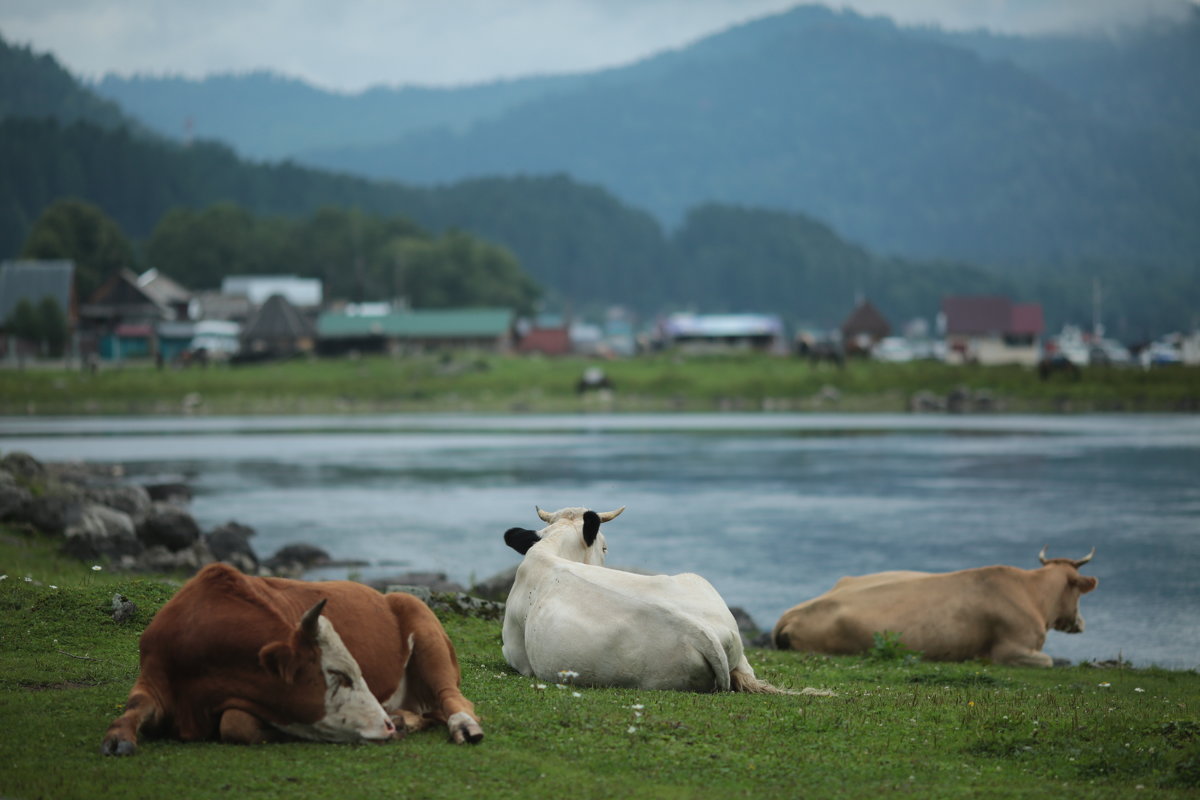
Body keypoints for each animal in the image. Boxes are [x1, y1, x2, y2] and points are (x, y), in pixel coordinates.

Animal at [99, 561, 482, 753]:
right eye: (340, 675)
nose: (386, 725)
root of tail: (390, 596)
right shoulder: (153, 676)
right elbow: (133, 707)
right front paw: (118, 738)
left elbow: (234, 723)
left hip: (428, 638)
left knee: (454, 699)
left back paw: (460, 725)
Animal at [772, 546, 1099, 666]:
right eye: (1078, 593)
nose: (1082, 623)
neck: (1032, 593)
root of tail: (790, 614)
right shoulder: (1010, 648)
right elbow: (1049, 661)